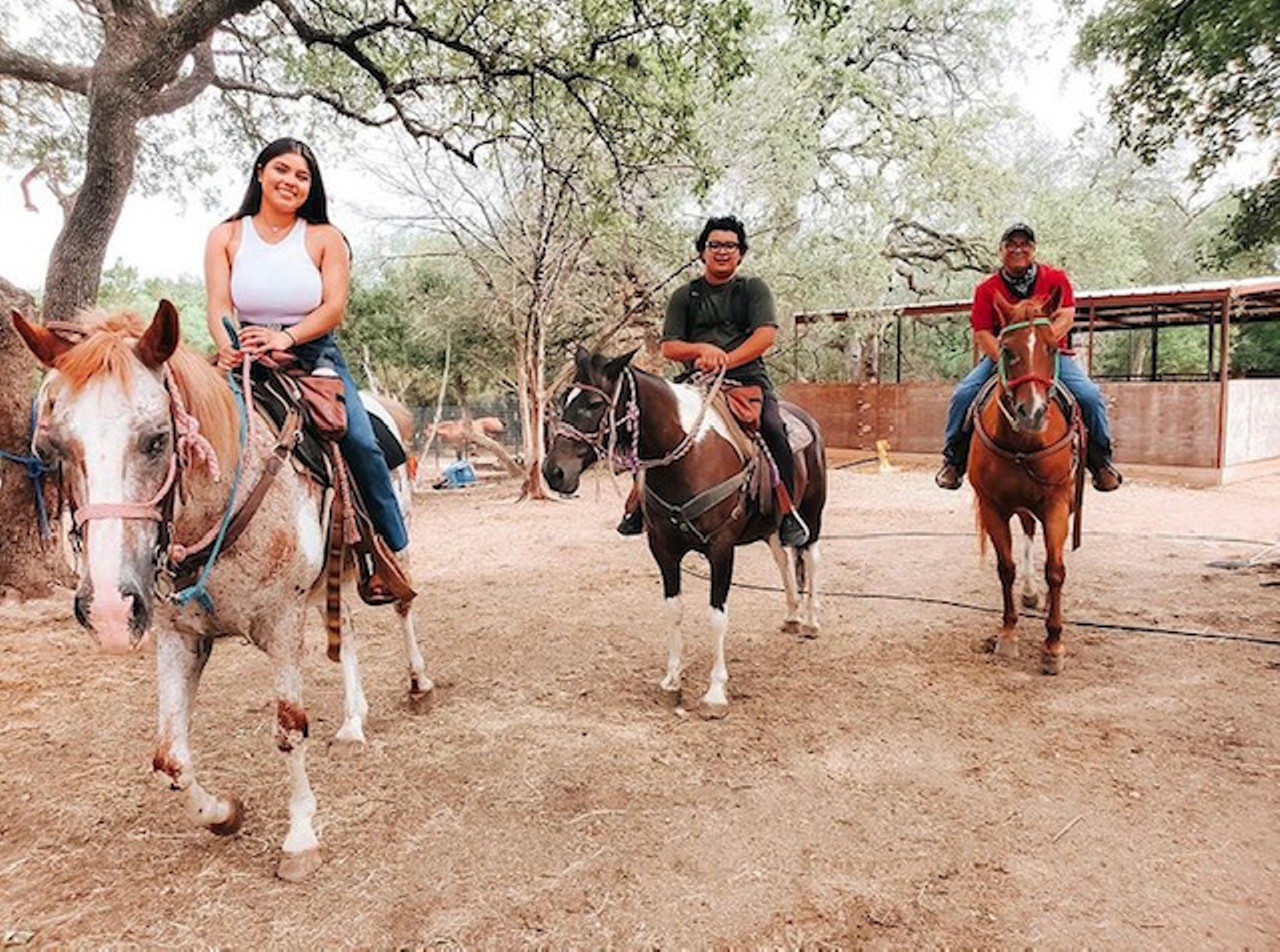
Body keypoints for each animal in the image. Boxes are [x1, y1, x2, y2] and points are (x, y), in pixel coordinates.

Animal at [13, 300, 435, 880]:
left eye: (157, 439)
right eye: (51, 447)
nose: (109, 613)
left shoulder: (281, 624)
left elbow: (288, 729)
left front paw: (300, 840)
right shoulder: (179, 637)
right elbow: (169, 758)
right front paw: (224, 814)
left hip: (395, 538)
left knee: (403, 605)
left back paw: (419, 685)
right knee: (345, 629)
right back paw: (353, 723)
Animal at [542, 348, 829, 716]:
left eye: (593, 404)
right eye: (565, 400)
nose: (553, 472)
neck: (687, 457)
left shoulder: (721, 549)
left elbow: (716, 616)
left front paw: (715, 692)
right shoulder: (663, 549)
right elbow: (673, 611)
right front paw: (672, 681)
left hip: (812, 514)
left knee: (812, 557)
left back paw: (810, 621)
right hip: (770, 525)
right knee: (783, 558)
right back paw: (792, 615)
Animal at [967, 290, 1080, 675]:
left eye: (1051, 347)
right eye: (1006, 349)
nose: (1032, 413)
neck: (1023, 446)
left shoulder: (1057, 504)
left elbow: (1056, 570)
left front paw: (1054, 644)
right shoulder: (993, 507)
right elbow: (1006, 568)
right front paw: (1007, 633)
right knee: (1029, 533)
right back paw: (1030, 592)